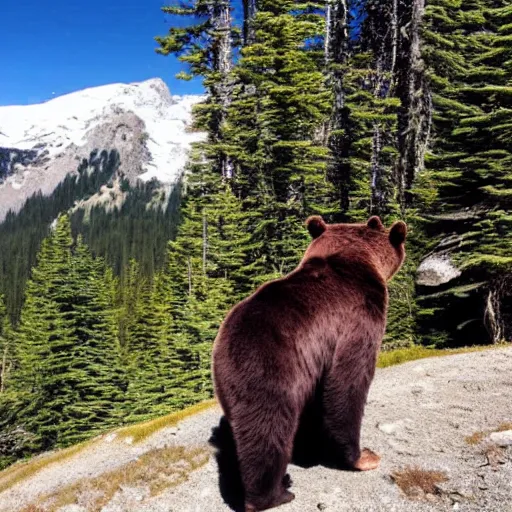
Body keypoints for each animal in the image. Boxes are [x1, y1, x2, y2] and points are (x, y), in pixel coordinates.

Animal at [210, 214, 406, 510]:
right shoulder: (357, 319)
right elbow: (347, 383)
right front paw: (363, 457)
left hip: (227, 385)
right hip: (269, 368)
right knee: (266, 430)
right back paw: (275, 493)